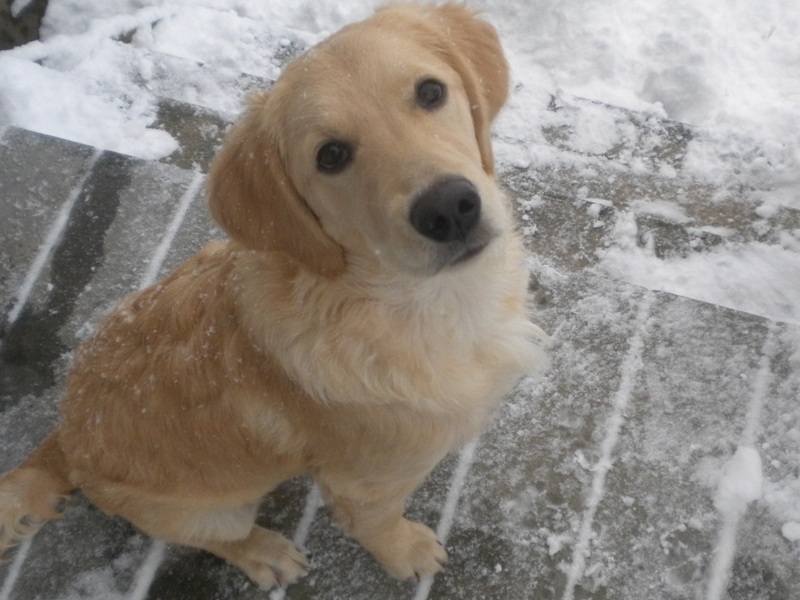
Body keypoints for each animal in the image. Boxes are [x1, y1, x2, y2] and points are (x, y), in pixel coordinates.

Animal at [0, 2, 544, 588]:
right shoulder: (365, 483)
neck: (421, 302)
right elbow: (378, 525)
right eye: (331, 156)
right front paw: (407, 552)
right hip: (215, 509)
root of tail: (65, 439)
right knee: (217, 537)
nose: (448, 209)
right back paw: (265, 553)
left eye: (430, 92)